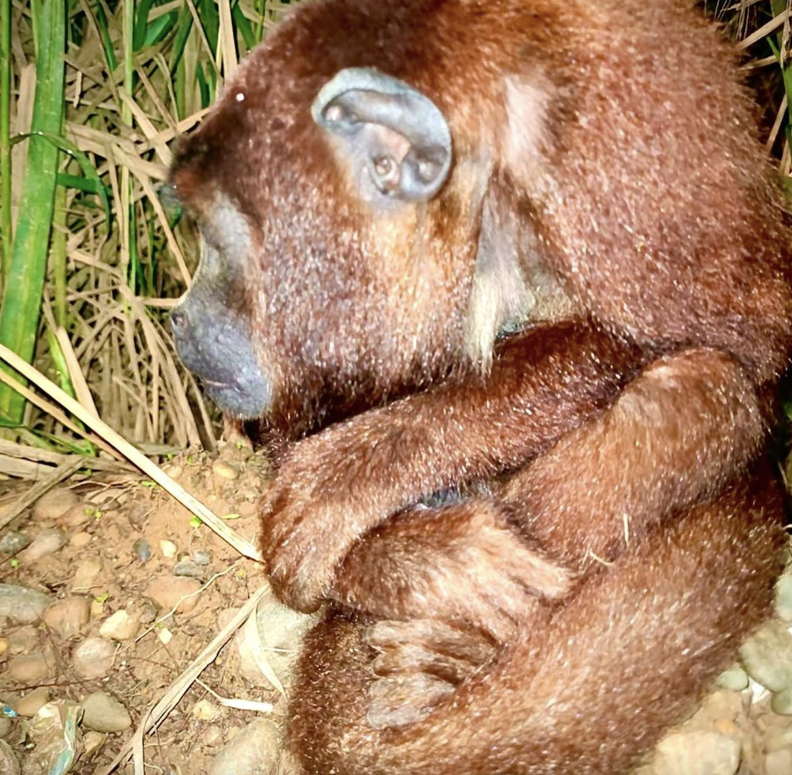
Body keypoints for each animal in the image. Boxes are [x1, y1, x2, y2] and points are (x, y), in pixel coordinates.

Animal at [168, 0, 792, 773]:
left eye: (214, 236)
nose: (181, 319)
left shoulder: (609, 161)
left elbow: (749, 338)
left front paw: (345, 482)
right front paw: (418, 558)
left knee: (697, 385)